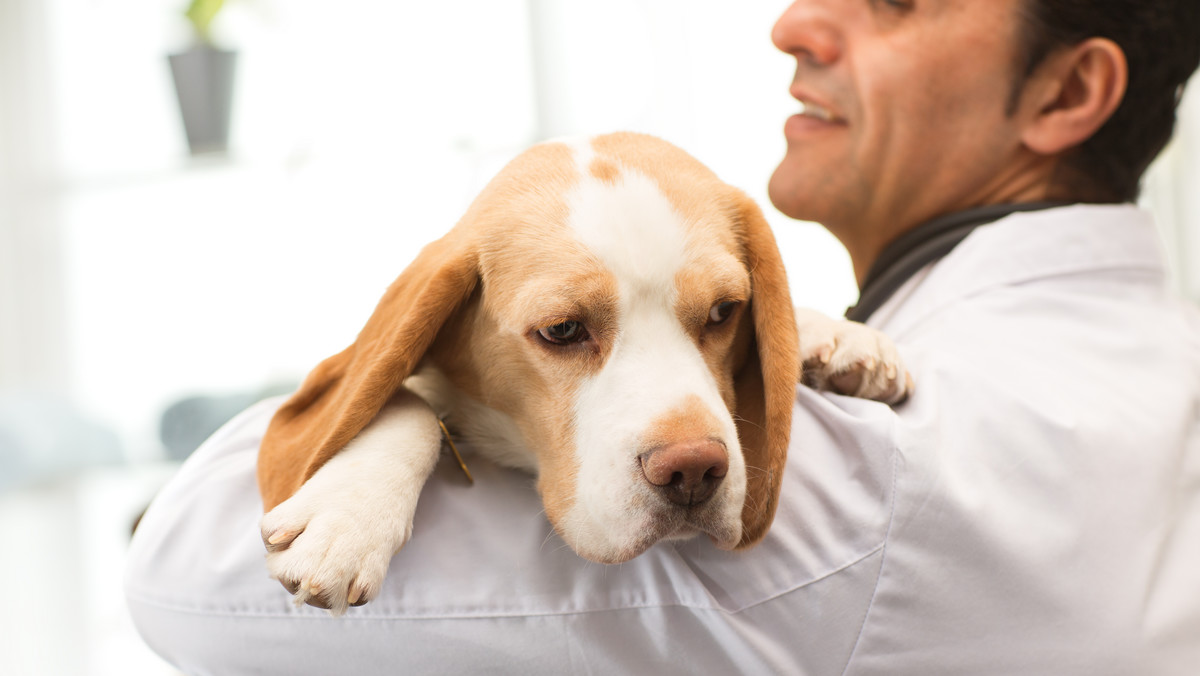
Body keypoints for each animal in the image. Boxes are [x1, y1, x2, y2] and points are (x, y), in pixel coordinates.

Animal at [255, 132, 907, 614]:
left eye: (724, 311)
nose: (694, 470)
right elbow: (406, 399)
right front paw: (346, 520)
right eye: (563, 330)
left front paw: (838, 336)